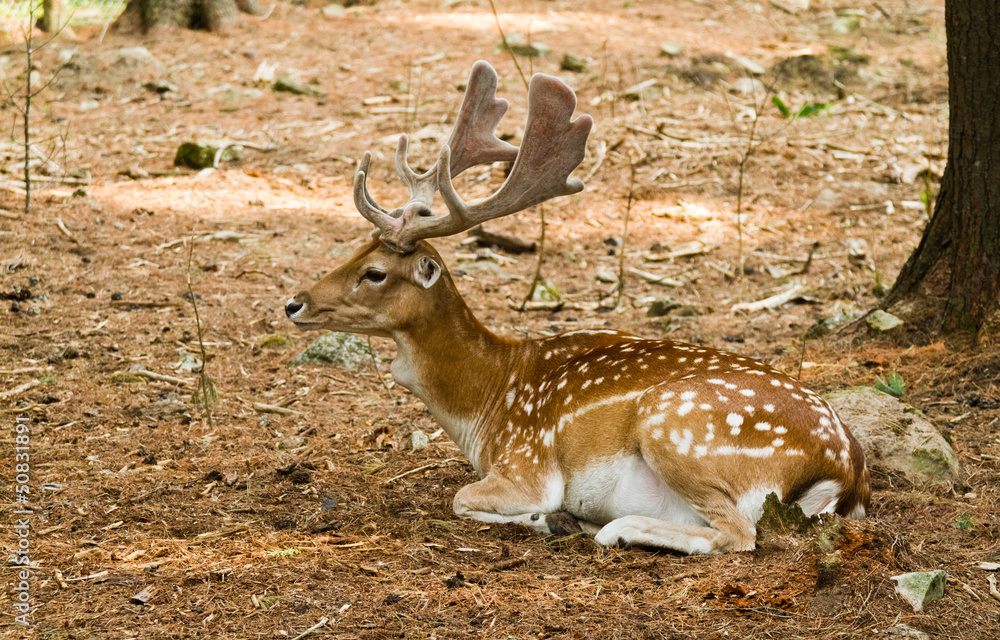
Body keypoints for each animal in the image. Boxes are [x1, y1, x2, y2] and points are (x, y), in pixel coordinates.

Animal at [284, 61, 868, 556]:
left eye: (375, 272)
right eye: (354, 249)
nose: (294, 303)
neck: (487, 406)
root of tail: (847, 470)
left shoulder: (527, 465)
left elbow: (463, 498)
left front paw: (551, 518)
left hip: (675, 427)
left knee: (738, 533)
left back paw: (611, 527)